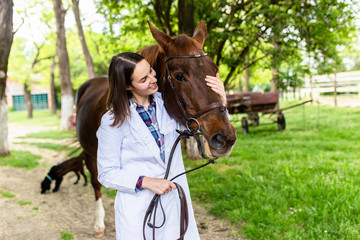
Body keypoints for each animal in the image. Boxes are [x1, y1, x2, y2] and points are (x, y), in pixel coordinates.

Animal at [75, 21, 236, 238]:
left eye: (214, 70)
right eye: (179, 76)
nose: (225, 138)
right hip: (90, 154)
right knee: (96, 183)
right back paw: (99, 223)